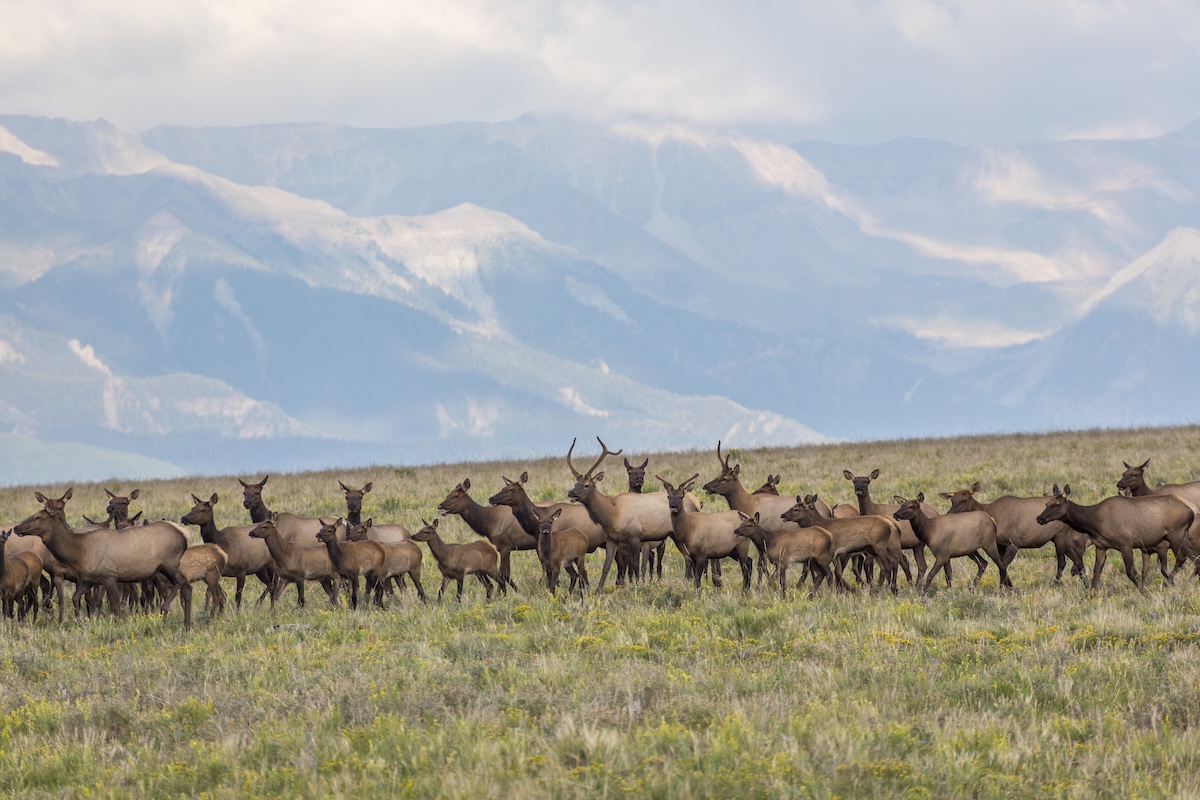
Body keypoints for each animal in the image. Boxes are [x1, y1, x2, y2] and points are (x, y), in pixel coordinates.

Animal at [13, 501, 194, 629]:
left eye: (38, 517)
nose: (16, 527)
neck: (80, 552)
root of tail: (185, 534)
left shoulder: (110, 577)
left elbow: (115, 606)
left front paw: (115, 626)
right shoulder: (89, 579)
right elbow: (76, 597)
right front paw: (81, 622)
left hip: (169, 564)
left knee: (182, 583)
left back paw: (166, 608)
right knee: (187, 588)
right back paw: (186, 625)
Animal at [780, 495, 909, 593]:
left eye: (796, 509)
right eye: (791, 507)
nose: (783, 515)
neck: (822, 524)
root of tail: (892, 525)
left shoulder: (834, 552)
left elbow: (832, 572)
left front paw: (842, 589)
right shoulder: (837, 554)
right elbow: (838, 571)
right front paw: (845, 589)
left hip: (879, 546)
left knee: (888, 565)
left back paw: (882, 589)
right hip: (878, 548)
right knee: (892, 563)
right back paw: (890, 588)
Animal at [940, 482, 1088, 583]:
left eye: (964, 500)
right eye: (952, 500)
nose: (948, 514)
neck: (994, 516)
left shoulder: (1014, 543)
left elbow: (1003, 566)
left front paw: (1004, 590)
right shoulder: (1000, 544)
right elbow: (1001, 565)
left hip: (1060, 536)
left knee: (1062, 562)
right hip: (1059, 539)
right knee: (1077, 559)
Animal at [1037, 484, 1197, 592]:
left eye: (1057, 504)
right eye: (1047, 503)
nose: (1039, 518)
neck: (1095, 523)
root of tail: (1192, 509)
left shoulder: (1126, 544)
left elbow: (1131, 572)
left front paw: (1143, 591)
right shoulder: (1101, 546)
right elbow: (1096, 571)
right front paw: (1090, 594)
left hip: (1175, 534)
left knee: (1182, 558)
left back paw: (1168, 583)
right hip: (1183, 537)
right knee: (1194, 557)